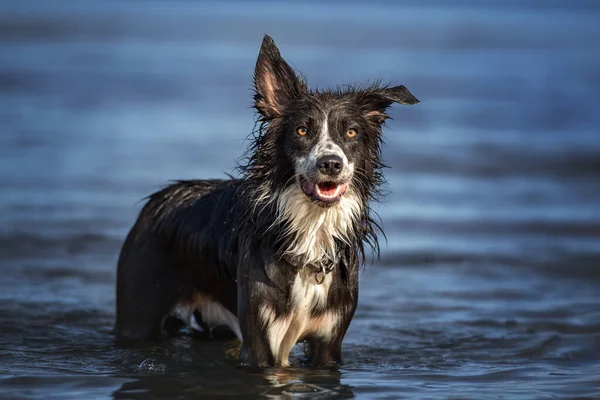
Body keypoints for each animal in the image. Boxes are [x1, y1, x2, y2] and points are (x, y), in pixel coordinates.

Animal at [116, 36, 418, 368]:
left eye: (351, 131)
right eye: (302, 130)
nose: (331, 163)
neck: (311, 235)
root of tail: (158, 198)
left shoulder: (329, 342)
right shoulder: (260, 342)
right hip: (138, 312)